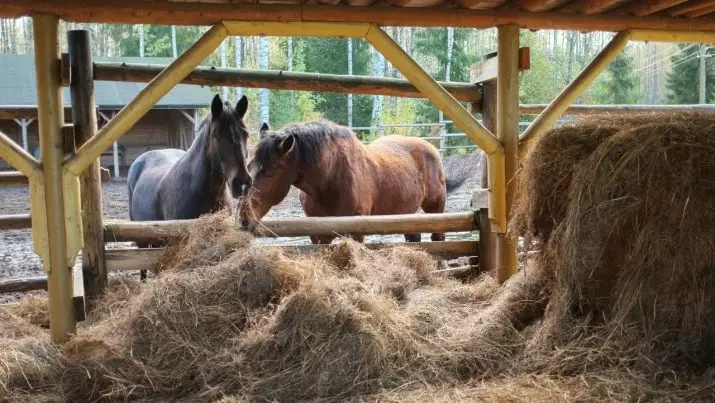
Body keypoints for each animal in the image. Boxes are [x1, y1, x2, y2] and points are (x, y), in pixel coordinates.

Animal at [238, 121, 454, 245]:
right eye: (249, 166)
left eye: (270, 173)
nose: (243, 219)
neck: (330, 178)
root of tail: (431, 148)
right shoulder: (318, 235)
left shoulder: (355, 233)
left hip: (435, 210)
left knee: (438, 238)